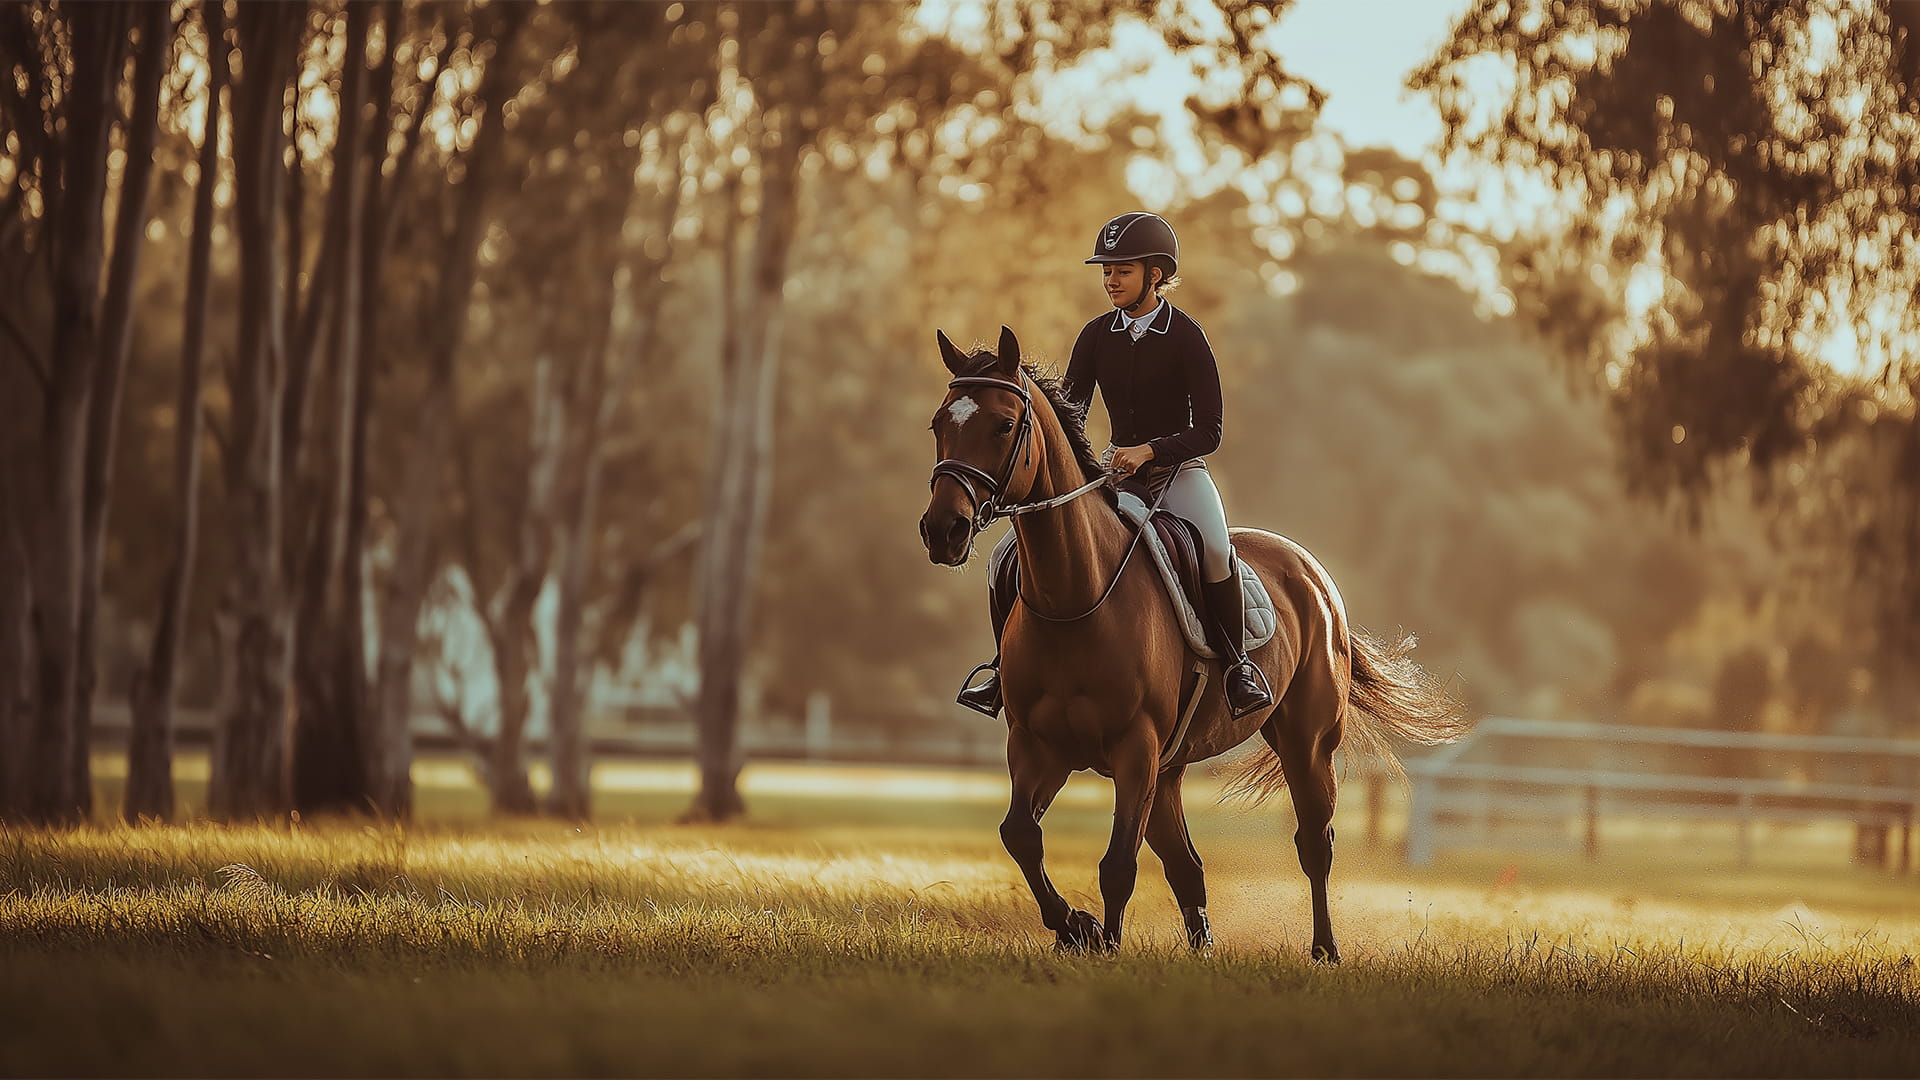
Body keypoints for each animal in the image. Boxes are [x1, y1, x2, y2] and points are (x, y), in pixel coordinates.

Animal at [917, 322, 1466, 953]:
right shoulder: (1039, 746)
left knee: (1313, 844)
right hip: (1171, 768)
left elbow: (1117, 864)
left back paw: (1324, 949)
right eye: (939, 424)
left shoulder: (1135, 749)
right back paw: (1201, 945)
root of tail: (1312, 574)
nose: (943, 530)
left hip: (1305, 744)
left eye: (1004, 425)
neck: (1076, 597)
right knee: (1186, 863)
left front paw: (1103, 942)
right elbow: (1021, 836)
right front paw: (1076, 928)